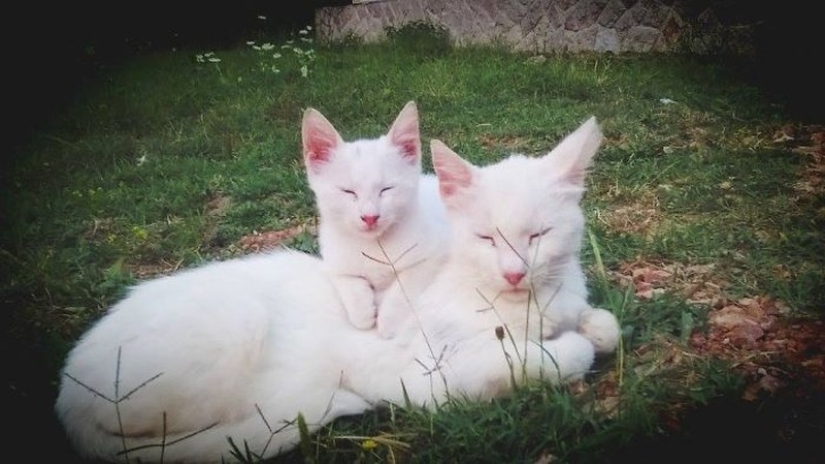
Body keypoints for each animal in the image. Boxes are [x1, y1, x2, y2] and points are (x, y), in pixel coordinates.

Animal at [300, 102, 448, 334]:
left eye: (386, 189)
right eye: (348, 191)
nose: (370, 217)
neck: (374, 245)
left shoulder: (436, 252)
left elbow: (406, 283)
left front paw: (389, 320)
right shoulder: (333, 261)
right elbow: (346, 280)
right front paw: (362, 310)